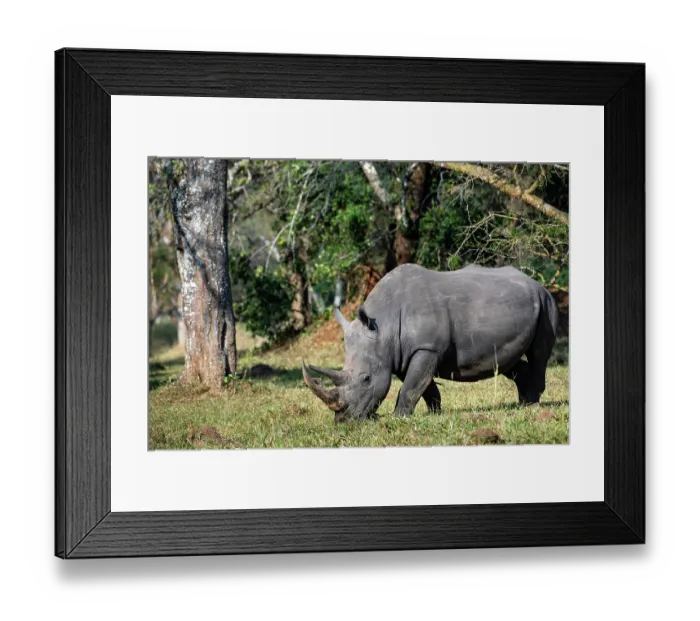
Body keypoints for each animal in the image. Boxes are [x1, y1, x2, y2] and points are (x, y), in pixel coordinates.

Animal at [302, 263, 559, 423]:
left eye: (366, 379)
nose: (343, 420)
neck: (384, 326)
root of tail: (537, 282)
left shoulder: (426, 347)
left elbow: (412, 386)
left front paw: (398, 418)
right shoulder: (401, 353)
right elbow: (422, 385)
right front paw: (434, 413)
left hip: (546, 301)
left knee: (539, 354)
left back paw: (533, 406)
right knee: (509, 362)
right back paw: (523, 403)